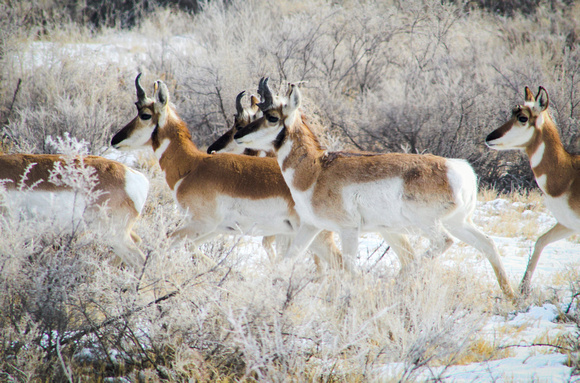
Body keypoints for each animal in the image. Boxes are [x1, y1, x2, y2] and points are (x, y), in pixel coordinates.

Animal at [111, 74, 342, 270]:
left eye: (144, 115)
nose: (115, 140)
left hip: (316, 237)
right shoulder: (215, 229)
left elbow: (162, 244)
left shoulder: (201, 224)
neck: (193, 165)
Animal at [233, 78, 516, 298]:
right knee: (488, 244)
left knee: (440, 244)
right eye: (259, 113)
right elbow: (287, 261)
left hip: (429, 225)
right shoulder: (310, 227)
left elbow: (348, 270)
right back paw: (511, 296)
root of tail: (458, 168)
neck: (315, 170)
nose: (237, 136)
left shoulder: (348, 230)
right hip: (458, 223)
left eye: (272, 117)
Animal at [488, 87, 576, 296]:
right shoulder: (568, 224)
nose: (489, 138)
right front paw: (522, 288)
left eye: (522, 117)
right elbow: (541, 241)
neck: (568, 176)